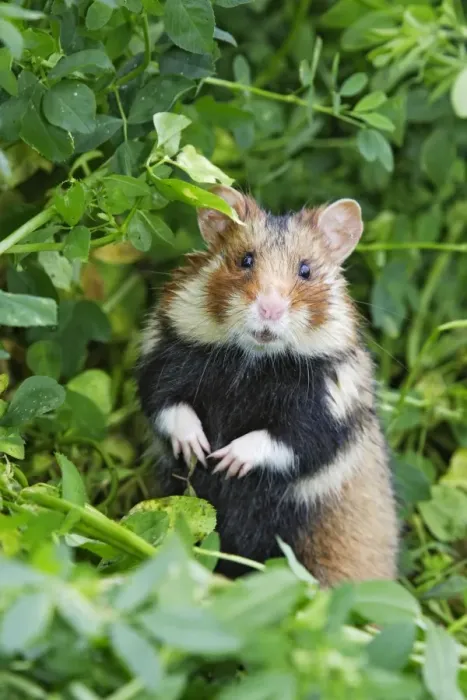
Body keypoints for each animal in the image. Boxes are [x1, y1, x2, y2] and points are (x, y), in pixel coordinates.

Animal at [137, 186, 398, 584]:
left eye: (306, 270)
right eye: (245, 260)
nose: (269, 310)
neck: (255, 360)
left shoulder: (324, 409)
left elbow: (286, 439)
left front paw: (226, 462)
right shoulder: (163, 359)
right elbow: (169, 405)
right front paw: (199, 450)